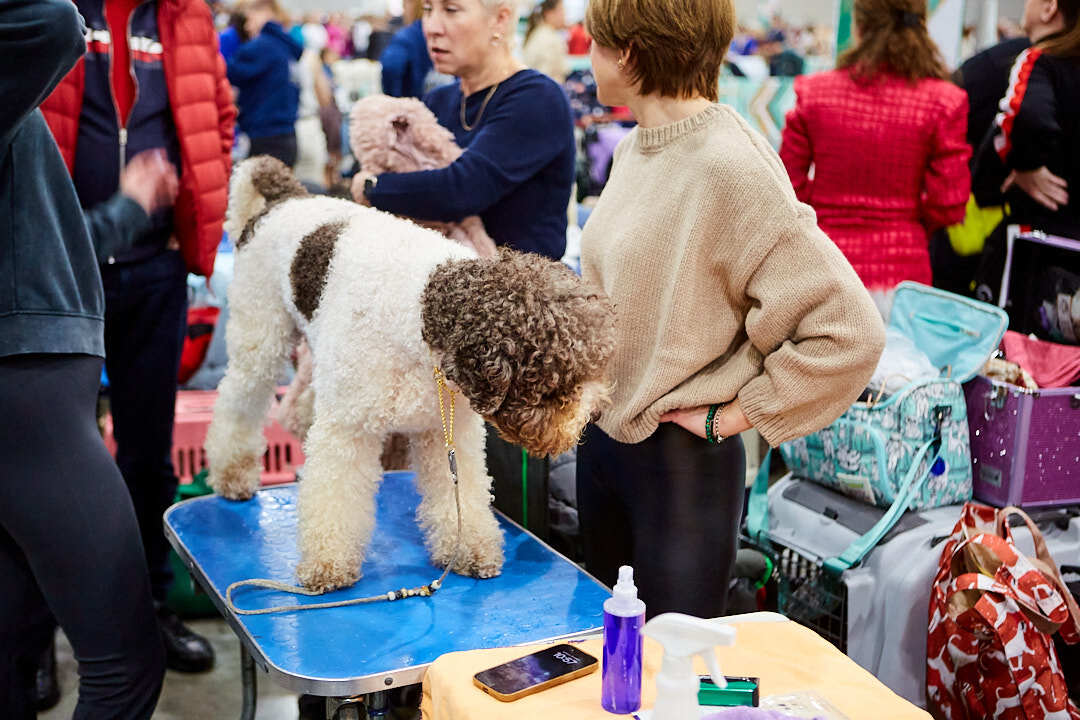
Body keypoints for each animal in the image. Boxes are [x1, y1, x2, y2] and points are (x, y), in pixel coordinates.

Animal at [204, 156, 617, 591]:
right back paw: (232, 475)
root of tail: (286, 197)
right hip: (260, 339)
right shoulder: (348, 429)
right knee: (238, 402)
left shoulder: (447, 432)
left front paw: (471, 549)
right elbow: (334, 497)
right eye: (555, 383)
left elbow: (463, 497)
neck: (422, 313)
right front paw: (328, 564)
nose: (589, 418)